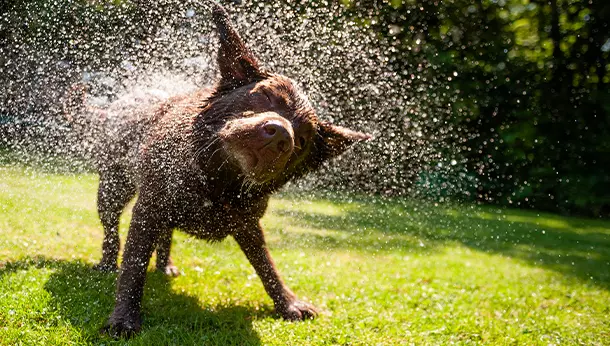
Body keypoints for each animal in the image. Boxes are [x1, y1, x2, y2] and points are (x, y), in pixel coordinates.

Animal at [88, 3, 368, 338]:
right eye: (266, 96)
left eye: (302, 140)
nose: (281, 136)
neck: (216, 181)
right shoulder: (149, 208)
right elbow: (133, 266)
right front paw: (124, 318)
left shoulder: (247, 223)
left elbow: (266, 264)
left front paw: (288, 303)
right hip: (112, 188)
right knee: (111, 230)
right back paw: (107, 263)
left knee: (165, 234)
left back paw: (165, 264)